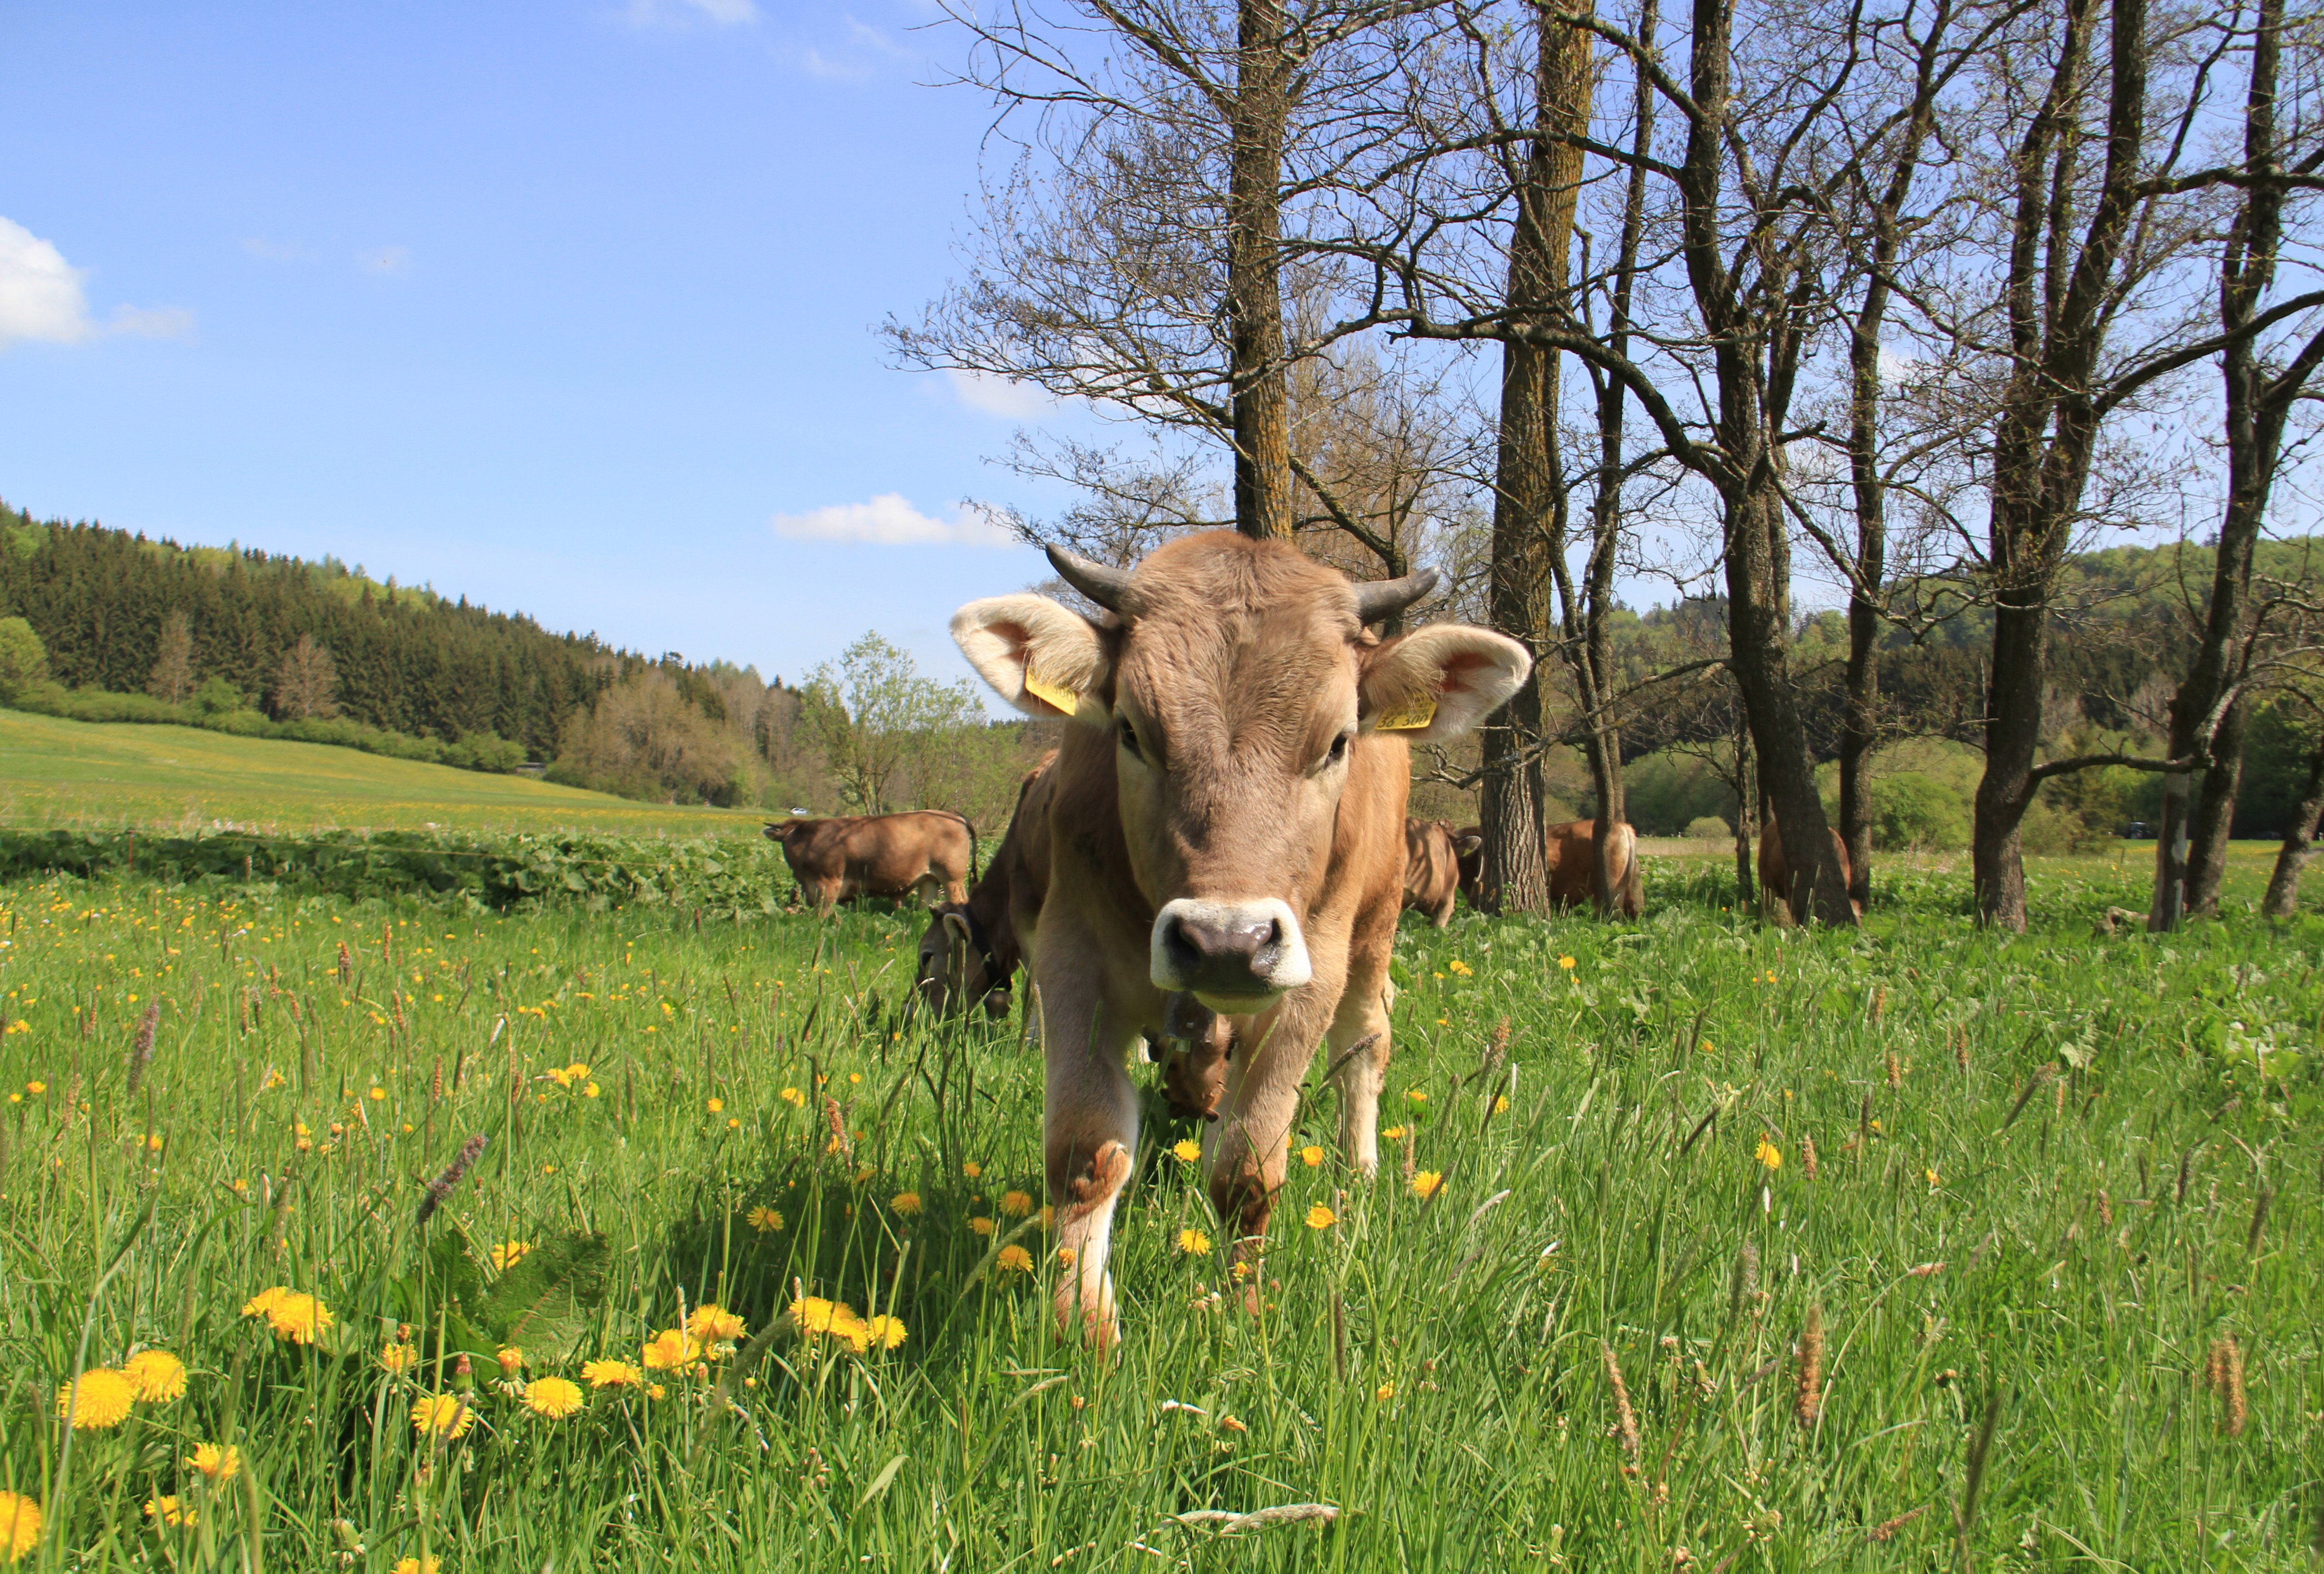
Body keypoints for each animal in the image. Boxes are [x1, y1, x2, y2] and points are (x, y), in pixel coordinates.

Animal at [762, 811, 976, 915]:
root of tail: (954, 816)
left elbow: (822, 915)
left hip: (952, 879)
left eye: (791, 834)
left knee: (960, 901)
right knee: (925, 904)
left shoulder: (828, 885)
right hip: (929, 879)